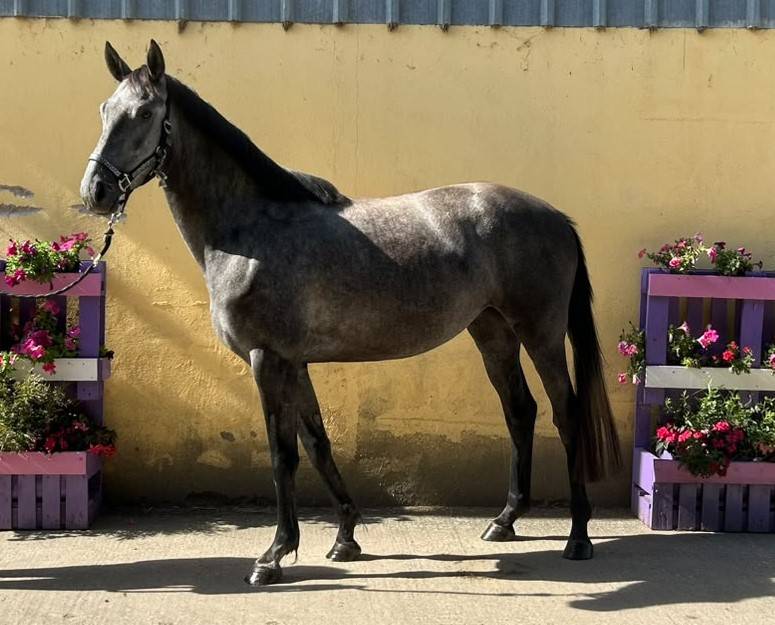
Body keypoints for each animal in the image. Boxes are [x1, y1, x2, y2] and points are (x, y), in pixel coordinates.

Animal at [80, 40, 621, 586]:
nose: (96, 192)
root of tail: (557, 218)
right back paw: (505, 521)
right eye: (103, 110)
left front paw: (273, 554)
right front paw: (345, 537)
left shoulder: (267, 359)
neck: (250, 231)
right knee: (519, 410)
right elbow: (317, 442)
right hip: (491, 330)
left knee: (565, 413)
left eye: (144, 113)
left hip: (540, 332)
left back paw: (578, 537)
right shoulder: (294, 362)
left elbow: (282, 454)